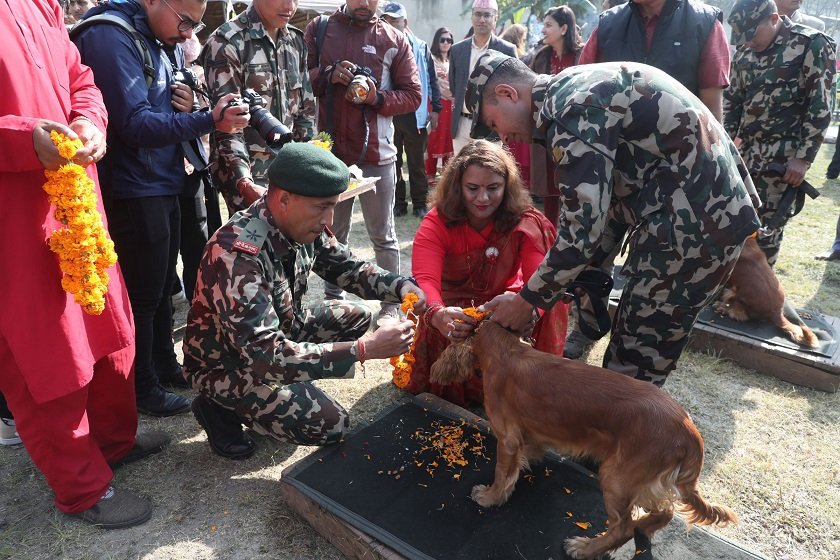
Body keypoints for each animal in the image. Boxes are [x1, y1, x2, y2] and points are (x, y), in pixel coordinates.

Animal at [430, 322, 740, 556]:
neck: (508, 349)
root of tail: (689, 431)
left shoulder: (507, 438)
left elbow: (502, 474)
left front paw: (490, 497)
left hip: (617, 477)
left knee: (622, 528)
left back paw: (585, 548)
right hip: (645, 482)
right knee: (665, 512)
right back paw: (644, 526)